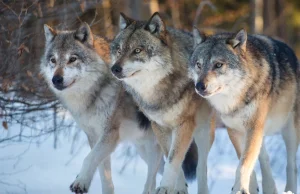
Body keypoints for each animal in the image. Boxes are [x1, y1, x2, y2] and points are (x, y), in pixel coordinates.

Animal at [110, 12, 213, 193]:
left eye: (137, 50)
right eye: (119, 50)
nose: (114, 69)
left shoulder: (184, 124)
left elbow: (173, 160)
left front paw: (165, 187)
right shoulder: (159, 126)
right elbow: (172, 157)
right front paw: (177, 188)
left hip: (204, 131)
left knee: (202, 166)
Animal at [191, 27, 298, 194]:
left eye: (218, 65)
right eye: (198, 65)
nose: (199, 86)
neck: (235, 99)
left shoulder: (253, 127)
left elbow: (243, 163)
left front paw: (240, 188)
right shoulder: (235, 130)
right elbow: (245, 160)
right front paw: (248, 188)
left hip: (289, 131)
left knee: (291, 164)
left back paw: (289, 190)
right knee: (264, 158)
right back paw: (269, 188)